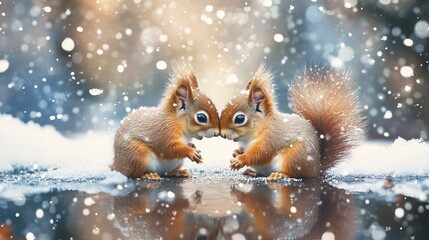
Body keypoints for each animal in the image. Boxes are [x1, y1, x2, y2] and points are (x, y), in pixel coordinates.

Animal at [221, 64, 364, 179]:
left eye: (240, 118)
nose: (222, 133)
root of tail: (316, 169)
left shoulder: (271, 136)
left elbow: (261, 153)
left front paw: (240, 160)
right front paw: (236, 152)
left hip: (294, 156)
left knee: (294, 174)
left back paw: (279, 175)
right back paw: (252, 172)